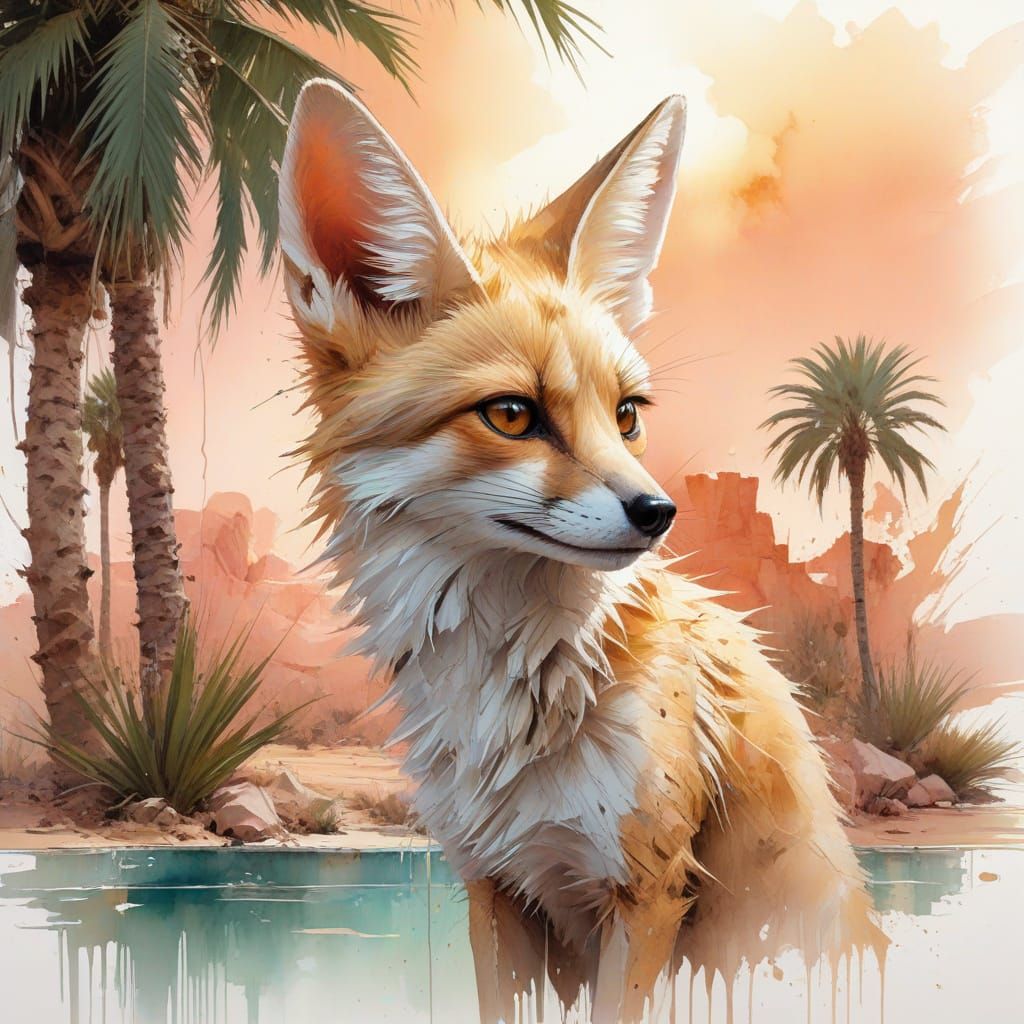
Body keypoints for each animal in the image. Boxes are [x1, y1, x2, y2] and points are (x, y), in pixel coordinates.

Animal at [278, 80, 881, 1023]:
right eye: (512, 414)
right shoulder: (494, 883)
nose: (660, 512)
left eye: (626, 414)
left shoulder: (647, 889)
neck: (510, 696)